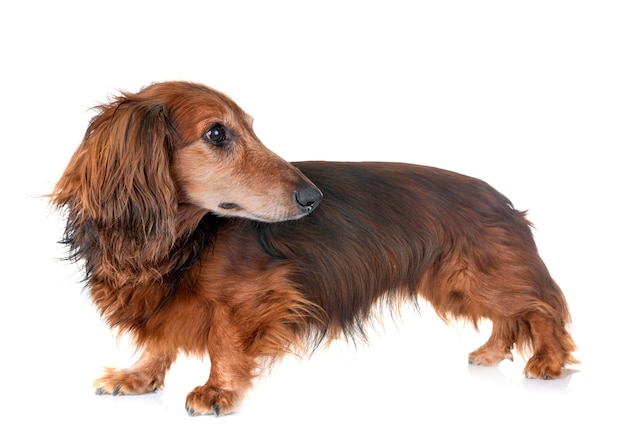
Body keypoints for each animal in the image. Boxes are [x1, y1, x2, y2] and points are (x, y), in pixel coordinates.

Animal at [52, 81, 576, 414]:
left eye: (251, 129)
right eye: (216, 133)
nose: (313, 198)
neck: (179, 238)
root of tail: (499, 198)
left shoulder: (255, 296)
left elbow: (224, 340)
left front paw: (218, 391)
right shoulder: (162, 300)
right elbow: (158, 340)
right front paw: (138, 378)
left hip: (477, 277)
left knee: (542, 306)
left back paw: (548, 361)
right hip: (459, 284)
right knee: (513, 316)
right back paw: (491, 351)